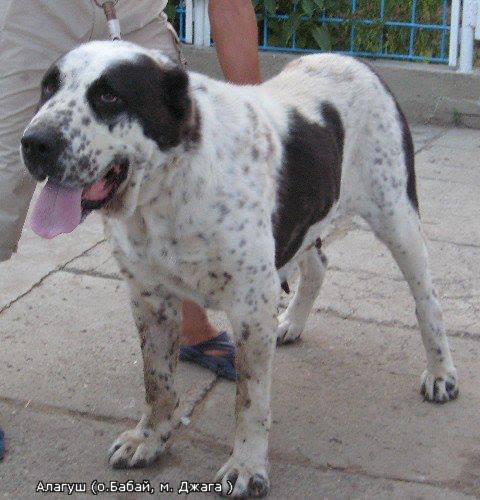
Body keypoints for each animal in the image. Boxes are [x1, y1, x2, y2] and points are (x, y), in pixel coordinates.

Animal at [21, 42, 458, 496]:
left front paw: (247, 467)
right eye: (47, 88)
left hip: (397, 218)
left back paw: (440, 372)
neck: (166, 189)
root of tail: (352, 59)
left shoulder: (251, 305)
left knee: (428, 300)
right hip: (299, 227)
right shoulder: (150, 299)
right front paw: (150, 438)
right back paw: (292, 323)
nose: (33, 143)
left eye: (109, 96)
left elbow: (250, 400)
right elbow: (156, 380)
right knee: (317, 265)